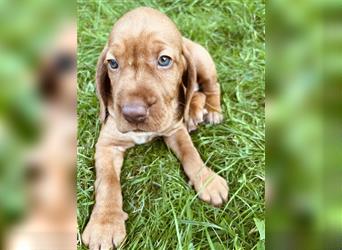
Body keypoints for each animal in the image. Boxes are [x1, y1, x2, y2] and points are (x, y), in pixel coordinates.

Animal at [82, 6, 228, 249]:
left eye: (164, 60)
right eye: (113, 64)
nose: (133, 113)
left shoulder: (175, 130)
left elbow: (191, 153)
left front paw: (207, 181)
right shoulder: (107, 145)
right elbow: (108, 182)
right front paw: (105, 224)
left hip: (203, 61)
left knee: (209, 86)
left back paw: (211, 111)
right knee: (194, 92)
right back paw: (193, 112)